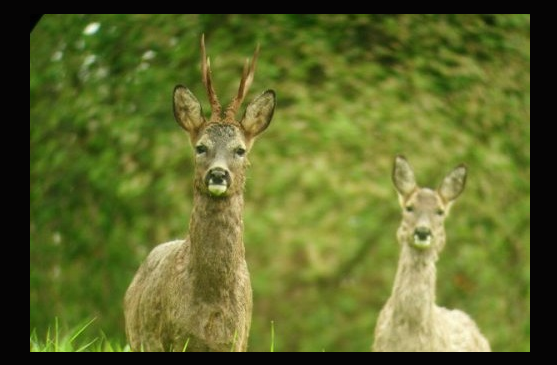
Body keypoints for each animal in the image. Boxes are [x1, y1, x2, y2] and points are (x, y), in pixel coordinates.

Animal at [124, 34, 276, 350]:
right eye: (200, 147)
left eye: (240, 150)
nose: (218, 174)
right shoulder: (165, 339)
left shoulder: (238, 339)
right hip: (138, 338)